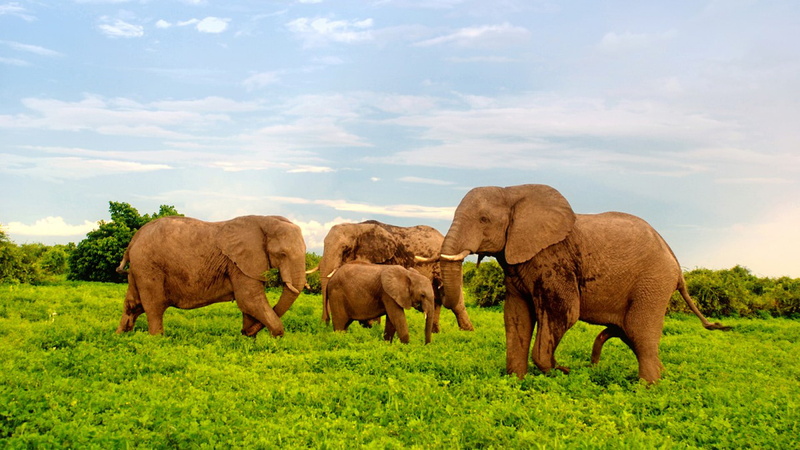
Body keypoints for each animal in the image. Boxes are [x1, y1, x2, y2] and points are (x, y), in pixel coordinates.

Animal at [115, 215, 307, 337]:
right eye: (282, 254)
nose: (244, 333)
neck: (266, 220)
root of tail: (134, 239)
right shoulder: (239, 263)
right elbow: (249, 300)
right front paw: (275, 338)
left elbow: (249, 304)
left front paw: (248, 341)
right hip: (148, 267)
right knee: (154, 306)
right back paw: (157, 340)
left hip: (138, 269)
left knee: (133, 304)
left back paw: (120, 335)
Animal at [318, 220, 473, 332]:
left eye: (345, 248)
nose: (325, 324)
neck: (357, 226)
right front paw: (369, 326)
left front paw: (372, 327)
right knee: (436, 299)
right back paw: (435, 332)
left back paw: (467, 332)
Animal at [438, 184, 728, 383]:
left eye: (484, 220)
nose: (571, 368)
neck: (512, 192)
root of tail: (676, 264)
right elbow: (516, 317)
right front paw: (516, 381)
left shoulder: (553, 258)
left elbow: (564, 312)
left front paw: (559, 370)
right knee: (632, 335)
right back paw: (661, 376)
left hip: (654, 281)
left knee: (640, 333)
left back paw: (647, 388)